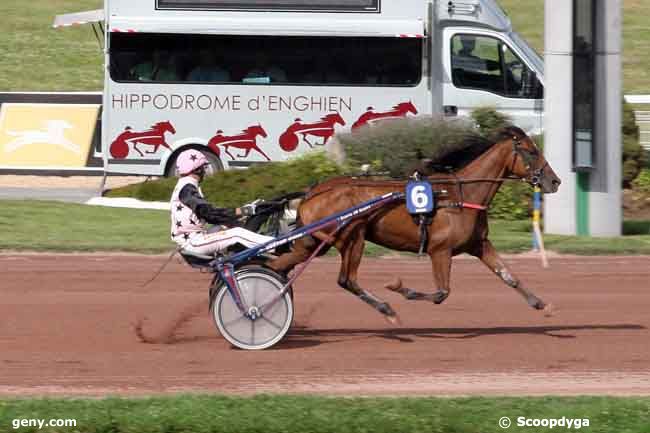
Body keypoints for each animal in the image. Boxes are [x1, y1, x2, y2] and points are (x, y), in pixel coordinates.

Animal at [268, 125, 560, 320]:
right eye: (531, 151)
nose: (555, 181)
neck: (460, 195)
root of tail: (311, 193)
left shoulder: (479, 244)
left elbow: (508, 276)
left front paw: (541, 304)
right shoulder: (440, 250)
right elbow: (442, 293)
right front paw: (400, 289)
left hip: (315, 241)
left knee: (279, 266)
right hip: (352, 237)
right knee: (346, 280)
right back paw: (387, 309)